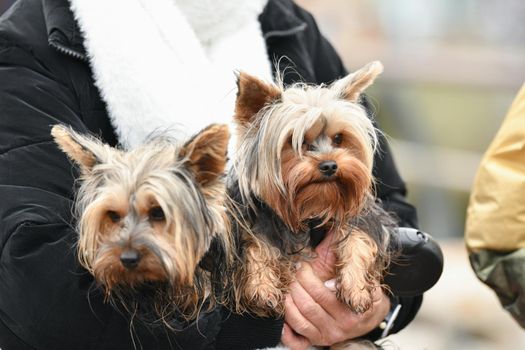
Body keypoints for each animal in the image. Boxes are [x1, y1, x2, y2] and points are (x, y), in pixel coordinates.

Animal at [228, 61, 392, 318]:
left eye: (338, 138)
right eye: (297, 142)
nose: (330, 165)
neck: (311, 208)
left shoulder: (364, 216)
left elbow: (359, 239)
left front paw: (355, 288)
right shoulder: (252, 220)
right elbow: (257, 245)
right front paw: (262, 287)